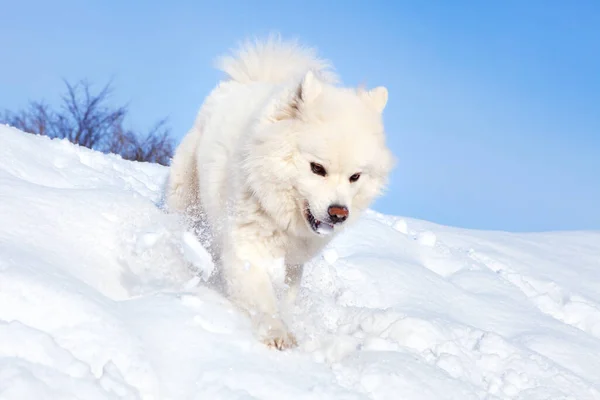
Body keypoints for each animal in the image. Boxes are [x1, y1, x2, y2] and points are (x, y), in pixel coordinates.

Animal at [166, 36, 396, 350]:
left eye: (355, 177)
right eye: (317, 168)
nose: (339, 213)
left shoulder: (293, 264)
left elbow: (286, 295)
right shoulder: (246, 246)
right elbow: (262, 299)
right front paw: (278, 334)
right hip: (185, 192)